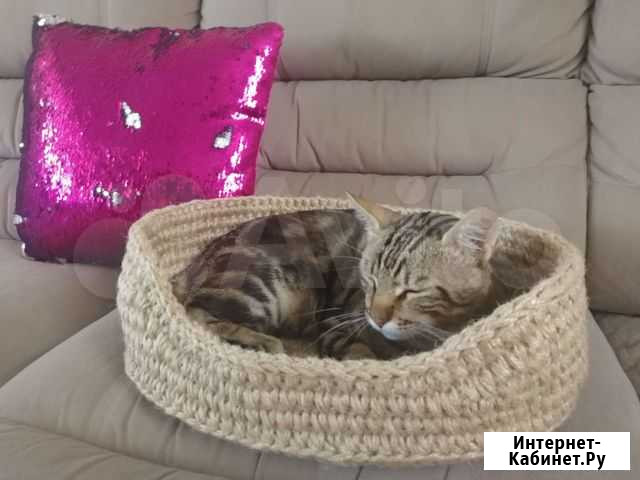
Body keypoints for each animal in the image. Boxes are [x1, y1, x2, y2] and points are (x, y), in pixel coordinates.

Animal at [171, 195, 512, 359]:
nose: (376, 318)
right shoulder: (337, 325)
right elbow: (362, 354)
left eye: (411, 292)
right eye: (370, 280)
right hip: (259, 284)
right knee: (198, 315)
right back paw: (263, 343)